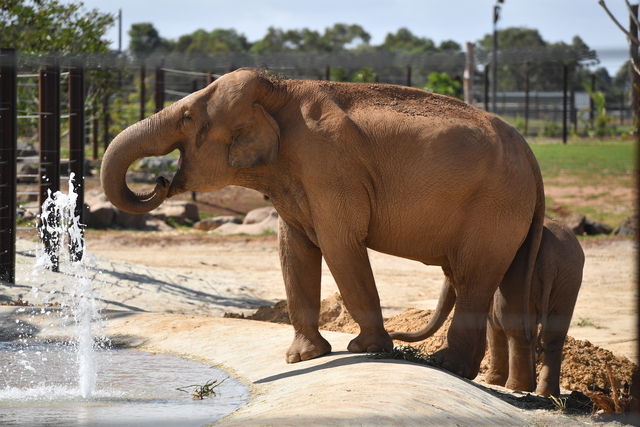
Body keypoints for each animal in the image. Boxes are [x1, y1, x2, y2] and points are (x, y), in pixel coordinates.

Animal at [100, 68, 545, 379]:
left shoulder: (329, 167)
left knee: (473, 278)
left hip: (495, 208)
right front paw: (303, 357)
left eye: (188, 117)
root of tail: (530, 154)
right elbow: (294, 250)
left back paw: (446, 365)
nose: (160, 181)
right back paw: (459, 368)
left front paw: (366, 349)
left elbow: (339, 244)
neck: (279, 90)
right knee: (495, 285)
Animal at [390, 217, 583, 396]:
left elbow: (494, 327)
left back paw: (516, 387)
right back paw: (545, 393)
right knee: (554, 336)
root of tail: (549, 264)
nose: (392, 335)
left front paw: (492, 381)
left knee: (516, 331)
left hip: (532, 280)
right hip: (568, 281)